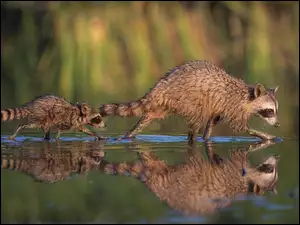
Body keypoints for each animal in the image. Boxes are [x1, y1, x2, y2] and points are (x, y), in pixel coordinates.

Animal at [99, 60, 280, 144]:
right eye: (269, 111)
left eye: (276, 110)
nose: (278, 125)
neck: (248, 97)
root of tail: (162, 86)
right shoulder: (233, 106)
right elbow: (240, 127)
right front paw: (264, 135)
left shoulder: (220, 106)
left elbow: (212, 121)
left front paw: (207, 136)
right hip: (188, 99)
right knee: (195, 122)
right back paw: (192, 139)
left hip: (164, 105)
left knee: (147, 117)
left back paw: (129, 135)